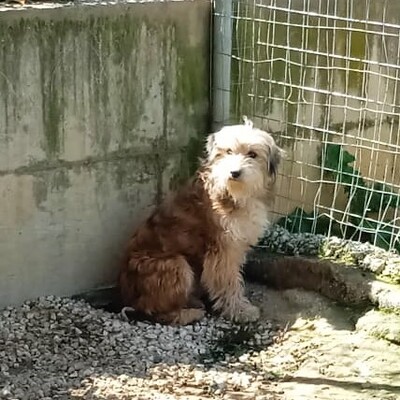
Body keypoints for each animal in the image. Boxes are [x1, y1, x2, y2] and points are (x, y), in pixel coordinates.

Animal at [119, 119, 282, 324]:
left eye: (252, 154)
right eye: (228, 151)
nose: (234, 172)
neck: (233, 193)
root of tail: (127, 297)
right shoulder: (223, 251)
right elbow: (229, 282)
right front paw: (239, 310)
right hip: (177, 265)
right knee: (157, 312)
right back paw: (189, 313)